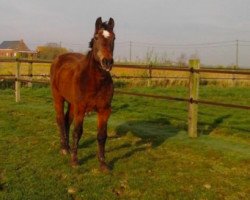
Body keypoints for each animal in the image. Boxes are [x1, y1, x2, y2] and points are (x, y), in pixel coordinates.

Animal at [50, 17, 116, 171]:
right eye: (96, 37)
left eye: (114, 38)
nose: (107, 62)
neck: (95, 81)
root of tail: (58, 58)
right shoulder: (81, 109)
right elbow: (78, 132)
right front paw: (75, 161)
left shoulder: (104, 110)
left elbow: (102, 135)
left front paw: (103, 163)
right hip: (58, 98)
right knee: (60, 119)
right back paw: (64, 148)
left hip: (72, 104)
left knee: (67, 120)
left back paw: (68, 147)